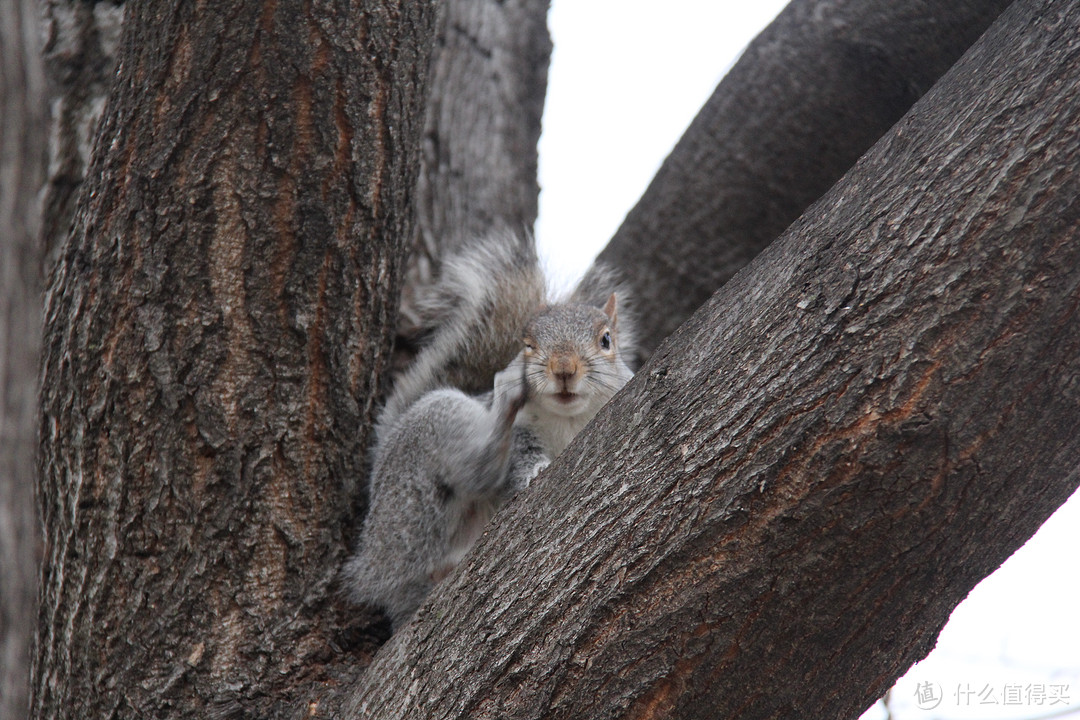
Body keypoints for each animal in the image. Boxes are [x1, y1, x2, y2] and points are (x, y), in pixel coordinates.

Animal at [343, 234, 630, 626]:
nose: (563, 368)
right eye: (527, 346)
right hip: (417, 471)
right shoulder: (523, 431)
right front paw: (533, 471)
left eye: (606, 340)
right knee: (472, 479)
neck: (567, 420)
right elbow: (519, 459)